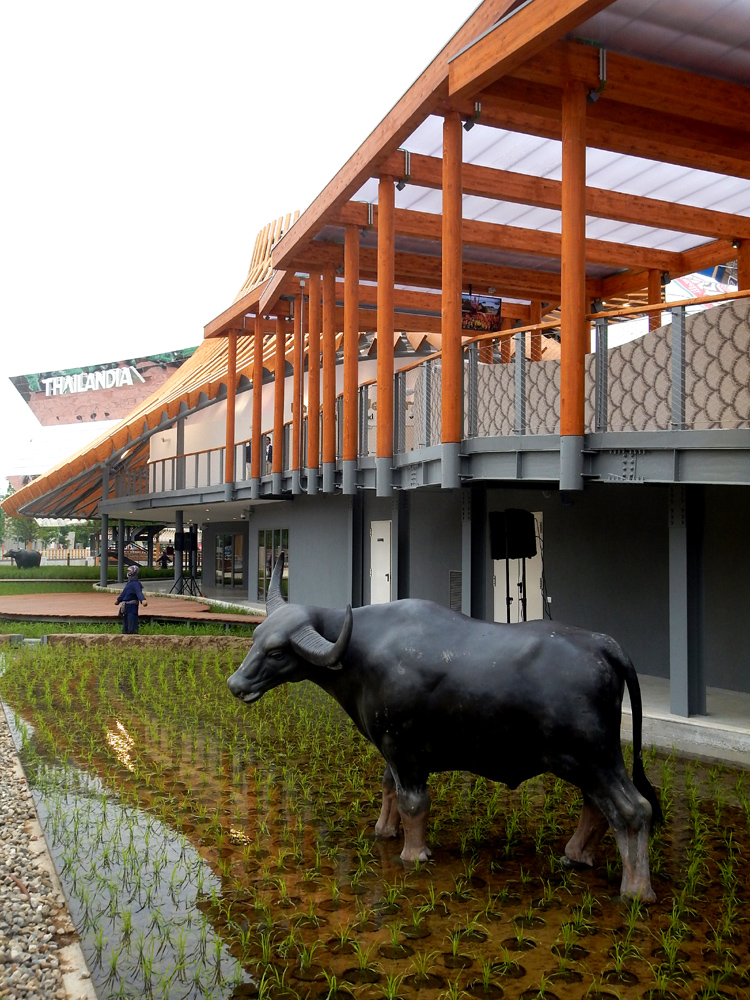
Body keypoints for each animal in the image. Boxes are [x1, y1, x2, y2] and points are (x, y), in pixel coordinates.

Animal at [227, 557, 661, 901]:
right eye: (256, 637)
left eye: (278, 652)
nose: (236, 684)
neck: (360, 654)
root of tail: (604, 645)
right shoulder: (391, 750)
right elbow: (389, 789)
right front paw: (385, 831)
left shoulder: (405, 750)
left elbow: (414, 802)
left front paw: (413, 854)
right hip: (587, 762)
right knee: (598, 806)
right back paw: (575, 855)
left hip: (594, 755)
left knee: (632, 809)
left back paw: (636, 890)